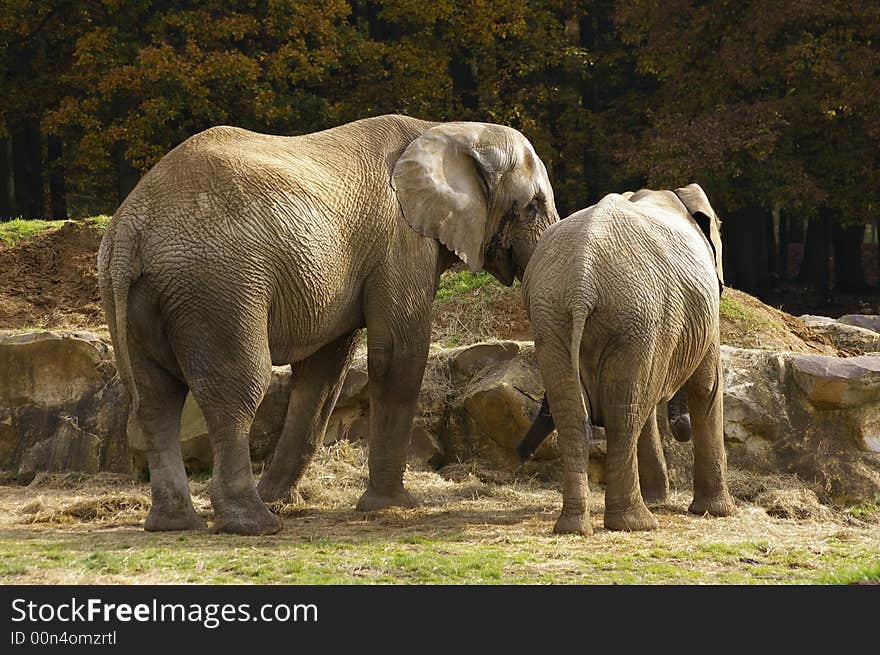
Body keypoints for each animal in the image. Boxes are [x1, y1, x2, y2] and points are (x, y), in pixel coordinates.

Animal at [99, 114, 560, 532]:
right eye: (531, 206)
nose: (522, 456)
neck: (449, 129)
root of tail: (129, 227)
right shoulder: (399, 241)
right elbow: (399, 355)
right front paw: (390, 506)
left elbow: (324, 372)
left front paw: (283, 497)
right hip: (219, 288)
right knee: (237, 390)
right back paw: (254, 524)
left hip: (141, 295)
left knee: (154, 399)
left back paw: (175, 523)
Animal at [520, 182, 740, 536]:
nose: (681, 429)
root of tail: (582, 280)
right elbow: (706, 386)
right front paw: (718, 512)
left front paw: (660, 500)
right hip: (635, 316)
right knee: (624, 414)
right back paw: (637, 523)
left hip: (553, 318)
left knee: (579, 414)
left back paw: (574, 528)